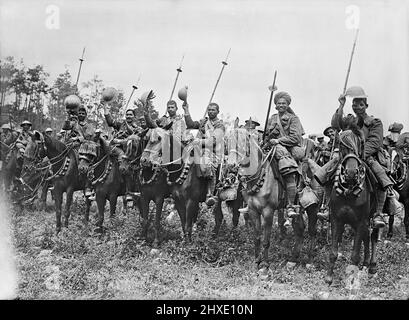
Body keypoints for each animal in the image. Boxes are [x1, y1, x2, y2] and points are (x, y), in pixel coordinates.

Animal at [324, 130, 378, 284]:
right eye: (342, 145)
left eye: (360, 144)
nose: (352, 173)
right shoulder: (337, 220)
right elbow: (333, 252)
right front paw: (329, 277)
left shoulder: (360, 221)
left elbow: (354, 255)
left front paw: (351, 281)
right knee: (366, 236)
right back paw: (365, 263)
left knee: (372, 236)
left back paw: (371, 266)